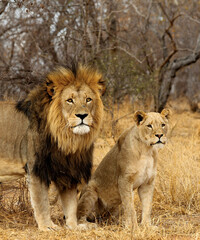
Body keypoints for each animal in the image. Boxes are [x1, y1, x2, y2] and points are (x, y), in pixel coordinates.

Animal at [0, 64, 105, 231]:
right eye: (69, 100)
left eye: (88, 99)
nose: (82, 115)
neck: (68, 140)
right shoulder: (36, 168)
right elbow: (42, 202)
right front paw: (47, 227)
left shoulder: (68, 170)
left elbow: (71, 204)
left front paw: (75, 226)